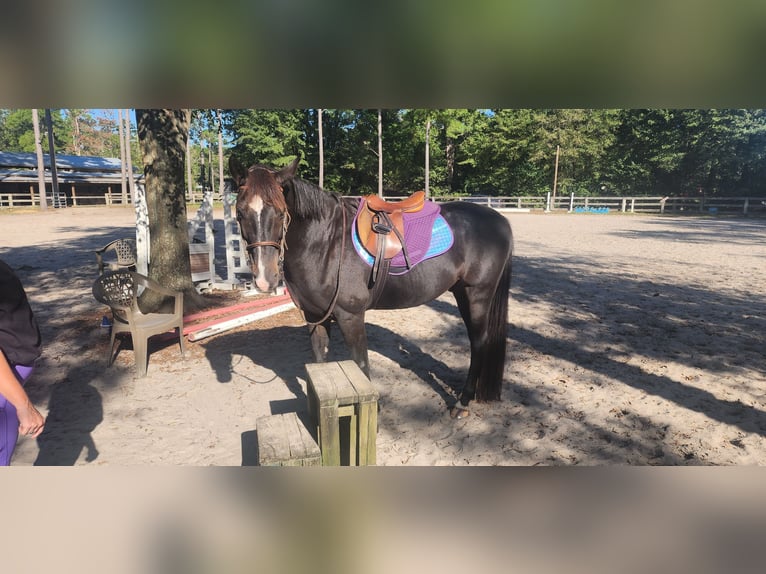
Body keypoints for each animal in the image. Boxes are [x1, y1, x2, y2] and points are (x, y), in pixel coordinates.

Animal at [229, 155, 513, 418]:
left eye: (280, 212)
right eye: (240, 213)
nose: (265, 278)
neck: (326, 243)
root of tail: (500, 220)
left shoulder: (351, 317)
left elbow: (361, 365)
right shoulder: (314, 316)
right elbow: (320, 363)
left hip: (477, 295)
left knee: (479, 343)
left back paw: (462, 402)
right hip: (461, 293)